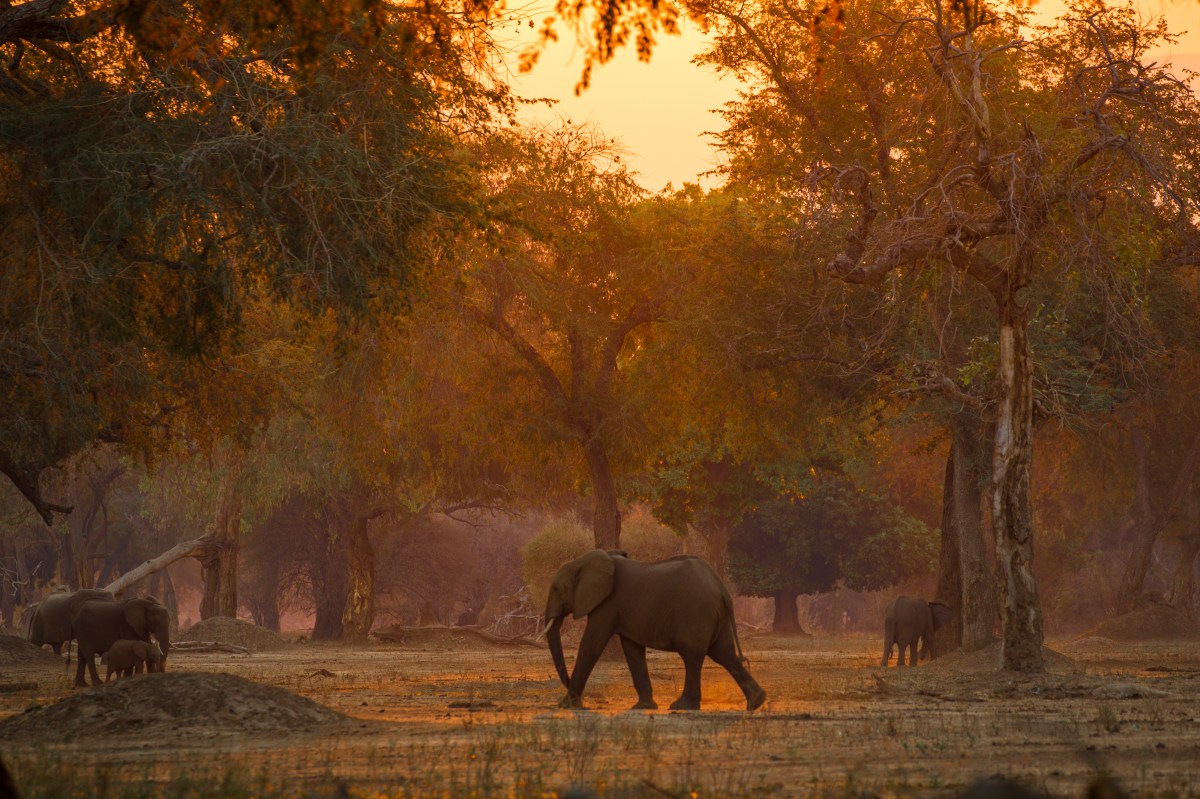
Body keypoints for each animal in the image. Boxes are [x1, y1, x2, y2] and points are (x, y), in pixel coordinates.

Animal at [542, 550, 766, 711]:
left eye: (556, 589)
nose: (568, 686)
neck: (581, 561)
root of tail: (722, 589)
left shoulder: (607, 604)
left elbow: (592, 644)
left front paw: (566, 705)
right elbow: (632, 650)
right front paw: (643, 707)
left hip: (696, 612)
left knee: (692, 655)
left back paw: (683, 706)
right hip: (714, 614)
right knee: (724, 653)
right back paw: (757, 702)